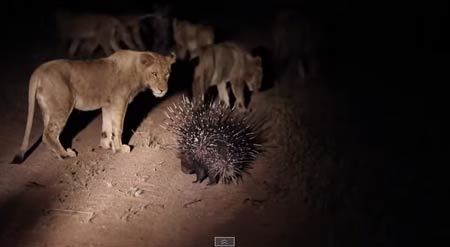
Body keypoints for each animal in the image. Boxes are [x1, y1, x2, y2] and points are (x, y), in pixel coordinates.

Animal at [10, 50, 176, 164]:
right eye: (154, 73)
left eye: (167, 74)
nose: (163, 90)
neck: (137, 71)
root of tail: (39, 70)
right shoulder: (119, 102)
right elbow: (118, 127)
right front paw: (120, 148)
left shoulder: (108, 105)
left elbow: (107, 127)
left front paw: (107, 145)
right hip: (62, 106)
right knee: (49, 133)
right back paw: (65, 154)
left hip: (48, 110)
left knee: (46, 134)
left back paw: (58, 155)